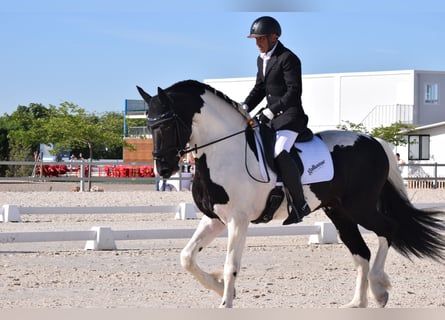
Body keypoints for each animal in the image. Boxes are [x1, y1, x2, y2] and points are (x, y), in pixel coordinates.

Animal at [137, 79, 442, 308]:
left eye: (166, 124)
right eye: (148, 126)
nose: (163, 168)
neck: (223, 151)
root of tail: (375, 141)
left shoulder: (238, 220)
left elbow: (230, 264)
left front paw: (226, 301)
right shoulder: (214, 218)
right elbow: (187, 257)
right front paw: (221, 287)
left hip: (360, 207)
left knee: (387, 229)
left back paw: (379, 289)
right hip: (338, 211)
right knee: (361, 251)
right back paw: (357, 304)